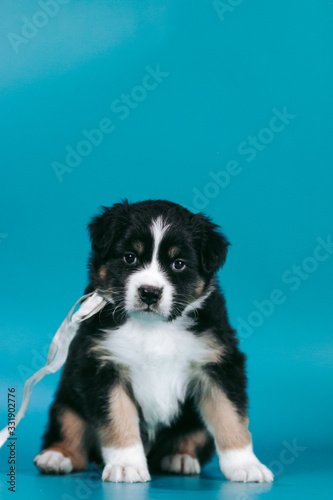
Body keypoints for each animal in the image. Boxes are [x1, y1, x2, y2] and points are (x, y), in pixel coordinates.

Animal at [33, 200, 272, 484]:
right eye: (130, 257)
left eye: (178, 264)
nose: (149, 293)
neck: (153, 327)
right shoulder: (103, 366)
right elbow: (118, 418)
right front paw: (126, 465)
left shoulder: (218, 362)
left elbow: (230, 415)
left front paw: (246, 465)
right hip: (67, 401)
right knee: (70, 430)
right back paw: (56, 457)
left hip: (193, 419)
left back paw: (180, 458)